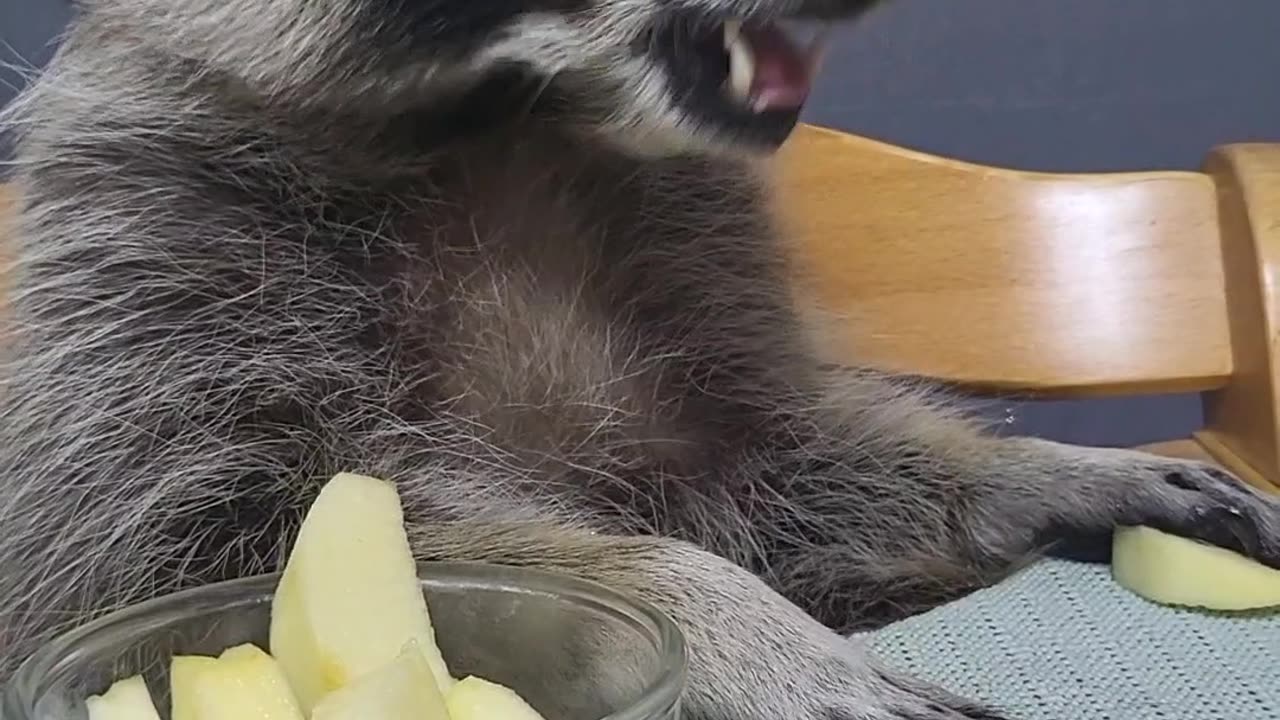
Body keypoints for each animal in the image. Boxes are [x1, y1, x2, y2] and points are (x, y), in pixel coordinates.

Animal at [2, 0, 1280, 712]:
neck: (518, 119)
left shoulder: (687, 257)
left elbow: (770, 468)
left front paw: (1032, 471)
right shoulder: (154, 251)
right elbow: (200, 553)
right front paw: (711, 609)